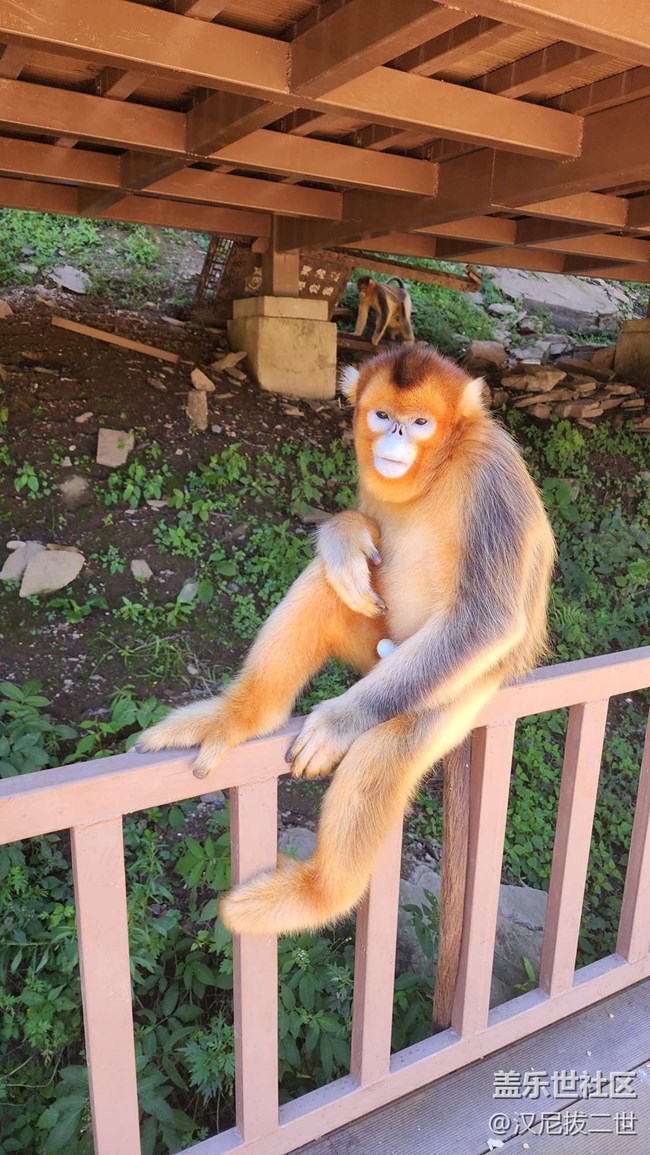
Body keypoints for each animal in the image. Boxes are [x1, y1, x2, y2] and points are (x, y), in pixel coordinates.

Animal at [138, 343, 555, 1020]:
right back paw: (241, 714)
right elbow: (359, 533)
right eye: (382, 414)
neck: (441, 467)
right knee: (327, 588)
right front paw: (344, 536)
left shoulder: (490, 477)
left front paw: (337, 722)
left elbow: (486, 618)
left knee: (391, 743)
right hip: (374, 641)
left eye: (420, 423)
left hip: (449, 686)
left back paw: (317, 894)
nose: (393, 438)